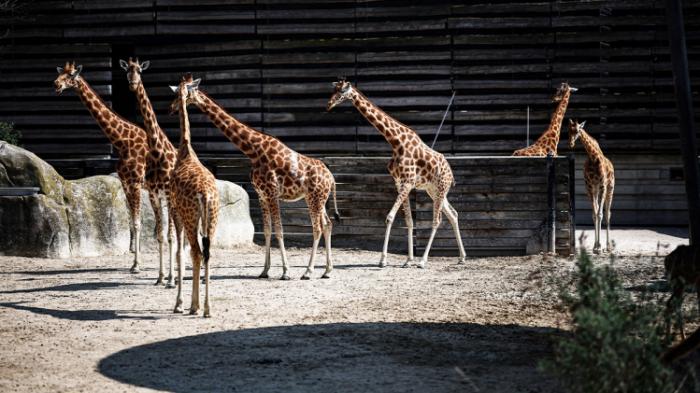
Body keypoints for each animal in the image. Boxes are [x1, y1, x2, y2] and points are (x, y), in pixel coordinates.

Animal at [56, 62, 150, 272]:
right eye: (61, 73)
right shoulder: (125, 182)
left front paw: (137, 266)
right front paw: (134, 262)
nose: (56, 84)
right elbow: (133, 222)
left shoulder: (136, 182)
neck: (122, 142)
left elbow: (137, 222)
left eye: (71, 75)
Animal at [119, 57, 178, 284]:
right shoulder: (154, 195)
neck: (158, 151)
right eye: (127, 71)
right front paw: (161, 277)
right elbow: (161, 235)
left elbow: (170, 236)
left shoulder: (168, 195)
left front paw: (171, 279)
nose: (133, 84)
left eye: (139, 71)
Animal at [326, 78, 464, 268]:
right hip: (434, 191)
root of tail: (451, 173)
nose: (328, 104)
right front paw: (407, 260)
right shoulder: (399, 182)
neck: (395, 142)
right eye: (334, 90)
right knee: (453, 214)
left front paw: (384, 260)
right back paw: (461, 257)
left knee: (437, 220)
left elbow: (390, 217)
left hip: (441, 187)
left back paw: (423, 261)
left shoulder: (408, 182)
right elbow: (408, 221)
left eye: (341, 92)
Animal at [572, 118, 616, 253]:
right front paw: (595, 246)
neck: (593, 157)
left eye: (578, 130)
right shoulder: (589, 187)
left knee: (607, 214)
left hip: (610, 189)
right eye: (569, 130)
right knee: (598, 212)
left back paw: (608, 246)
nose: (571, 142)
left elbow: (600, 214)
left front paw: (600, 246)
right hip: (596, 190)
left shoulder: (603, 186)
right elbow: (594, 214)